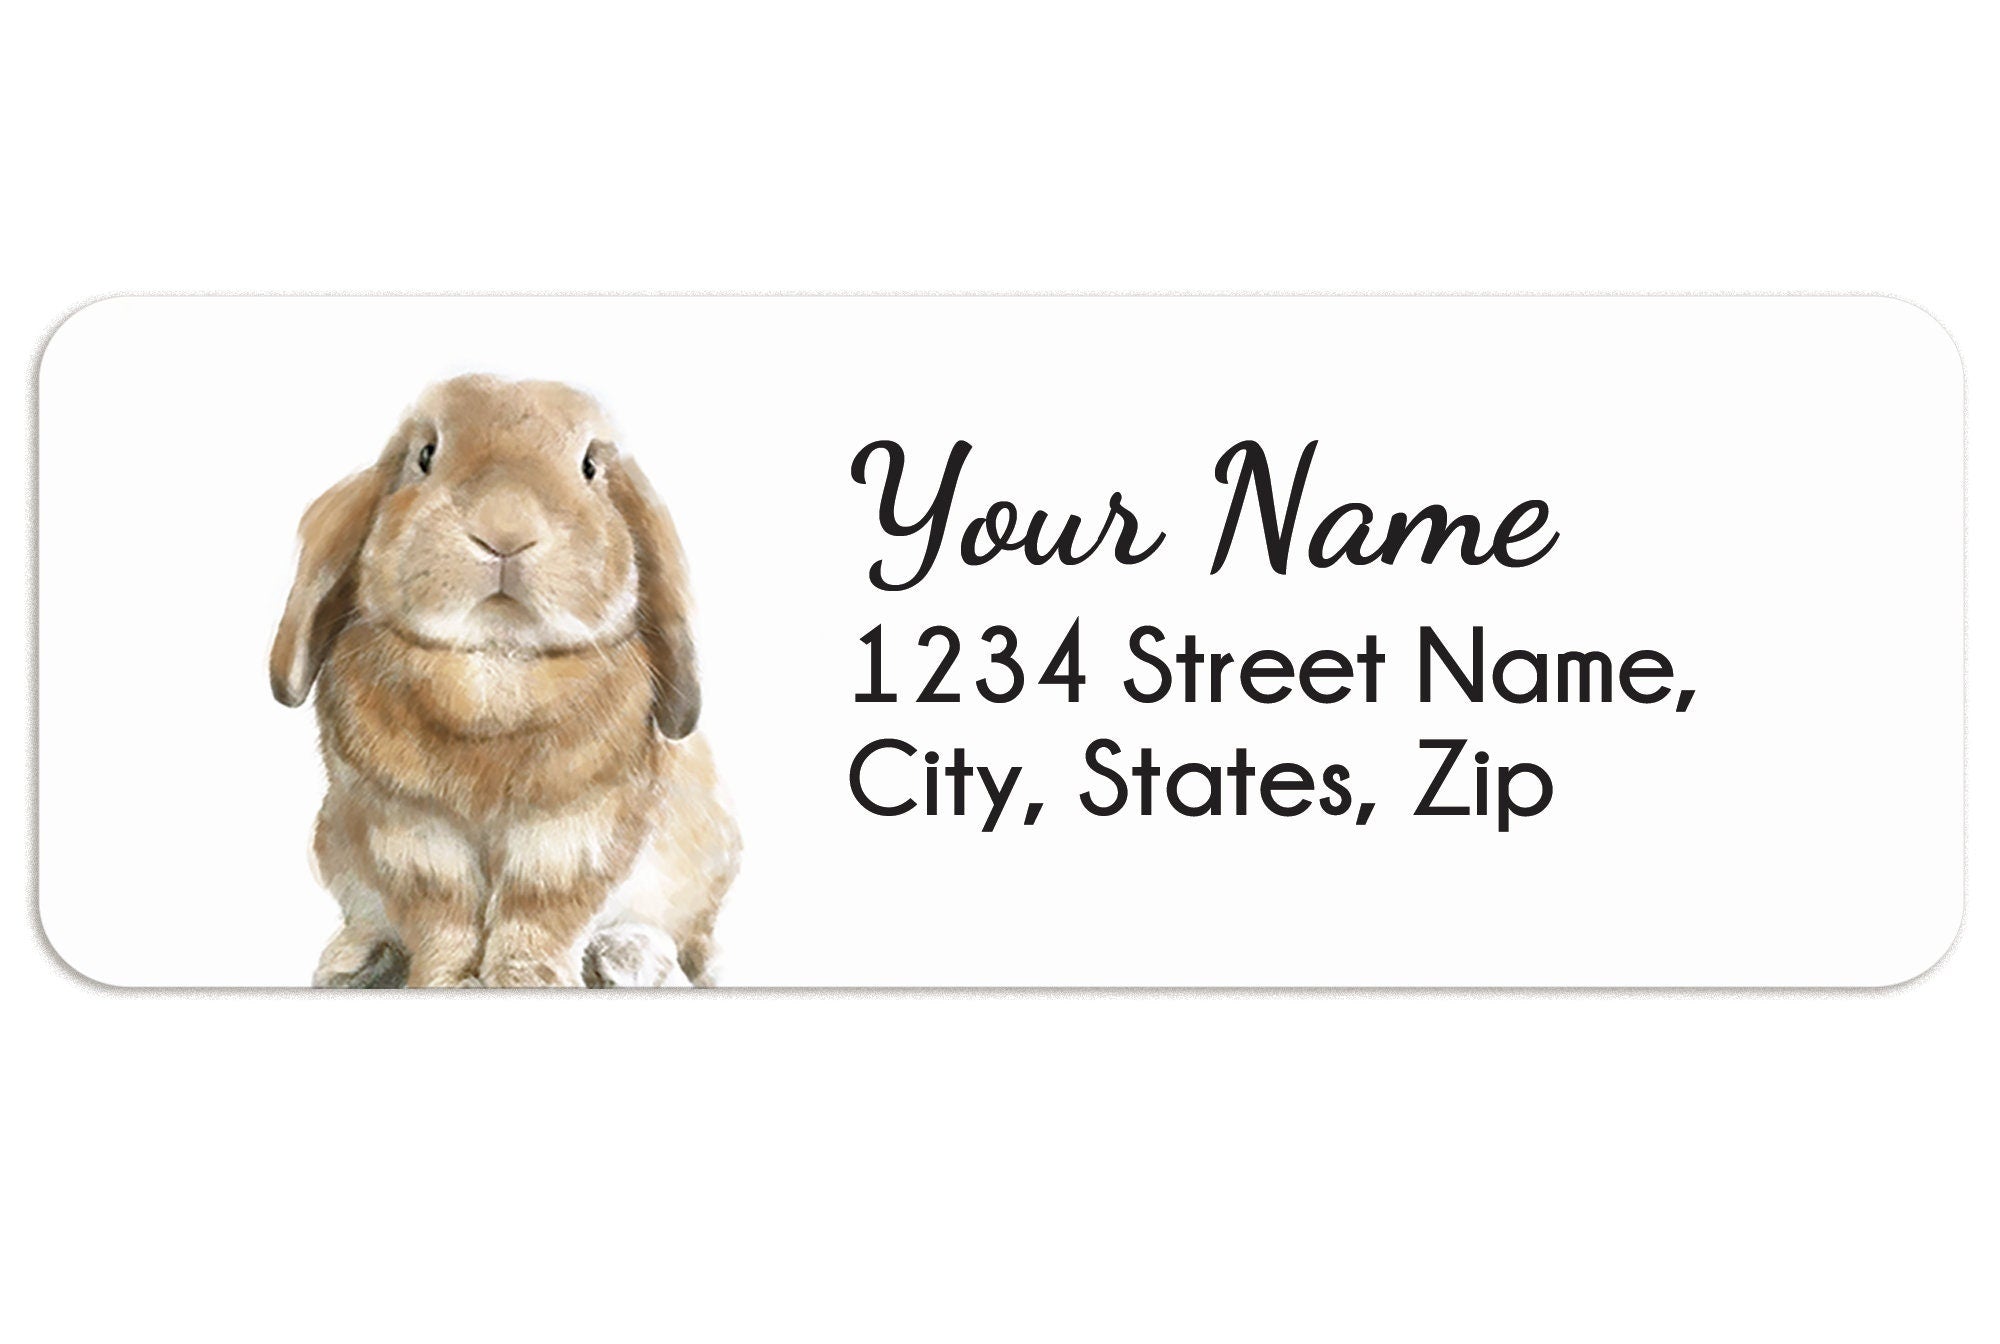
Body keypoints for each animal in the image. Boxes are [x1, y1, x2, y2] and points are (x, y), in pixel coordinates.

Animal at [270, 374, 740, 988]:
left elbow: (539, 912)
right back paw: (352, 960)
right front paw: (443, 980)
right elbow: (442, 914)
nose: (505, 530)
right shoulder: (412, 831)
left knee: (682, 938)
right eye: (426, 455)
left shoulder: (573, 830)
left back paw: (629, 958)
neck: (496, 661)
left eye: (590, 466)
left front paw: (527, 980)